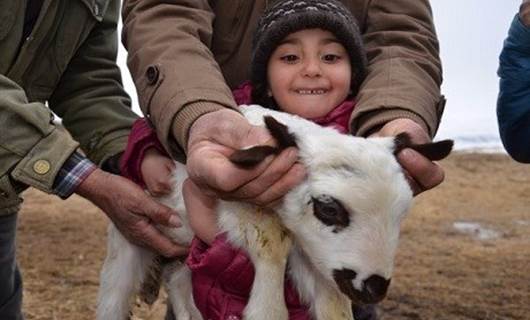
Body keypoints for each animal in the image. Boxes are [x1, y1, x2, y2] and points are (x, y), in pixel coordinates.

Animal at [96, 104, 450, 318]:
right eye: (328, 209)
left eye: (401, 213)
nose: (375, 287)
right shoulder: (242, 213)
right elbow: (270, 254)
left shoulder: (315, 256)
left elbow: (334, 306)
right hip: (126, 240)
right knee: (115, 296)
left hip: (182, 258)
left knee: (180, 286)